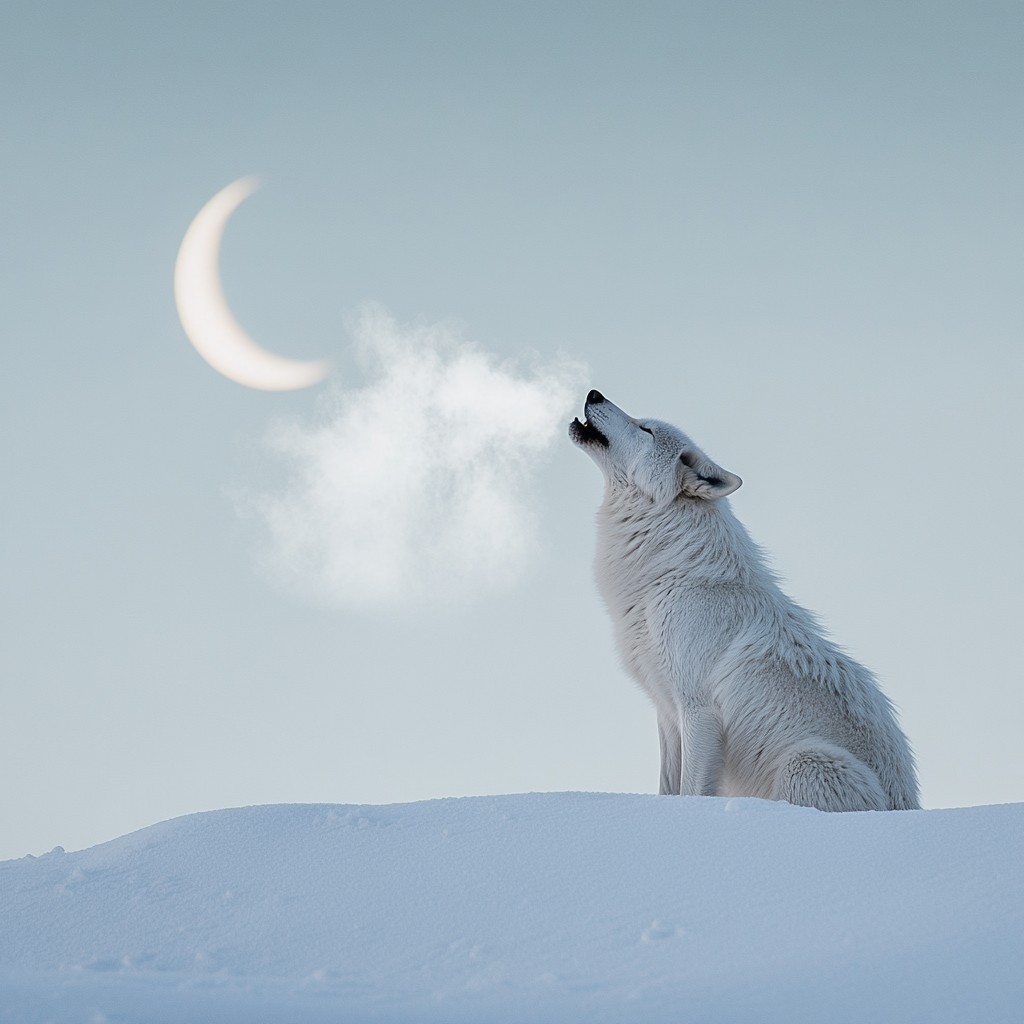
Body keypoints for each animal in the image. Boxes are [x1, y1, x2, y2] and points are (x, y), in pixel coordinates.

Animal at [570, 389, 919, 812]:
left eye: (645, 429)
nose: (594, 393)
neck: (670, 575)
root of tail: (909, 804)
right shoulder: (667, 712)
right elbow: (668, 788)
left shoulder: (698, 711)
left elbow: (690, 790)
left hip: (803, 762)